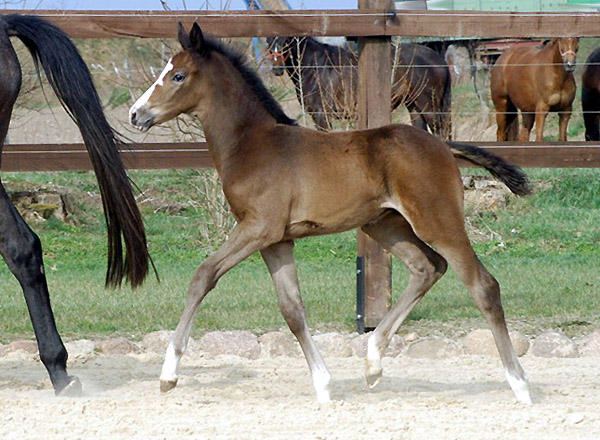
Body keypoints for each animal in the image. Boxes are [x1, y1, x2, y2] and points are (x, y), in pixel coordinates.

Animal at [132, 22, 536, 404]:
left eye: (178, 75)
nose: (137, 114)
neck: (252, 144)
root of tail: (443, 146)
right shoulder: (277, 240)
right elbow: (292, 309)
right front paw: (324, 386)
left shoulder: (257, 228)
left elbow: (203, 276)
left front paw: (168, 374)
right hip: (384, 225)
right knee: (428, 267)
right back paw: (373, 362)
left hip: (437, 220)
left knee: (483, 285)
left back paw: (520, 385)